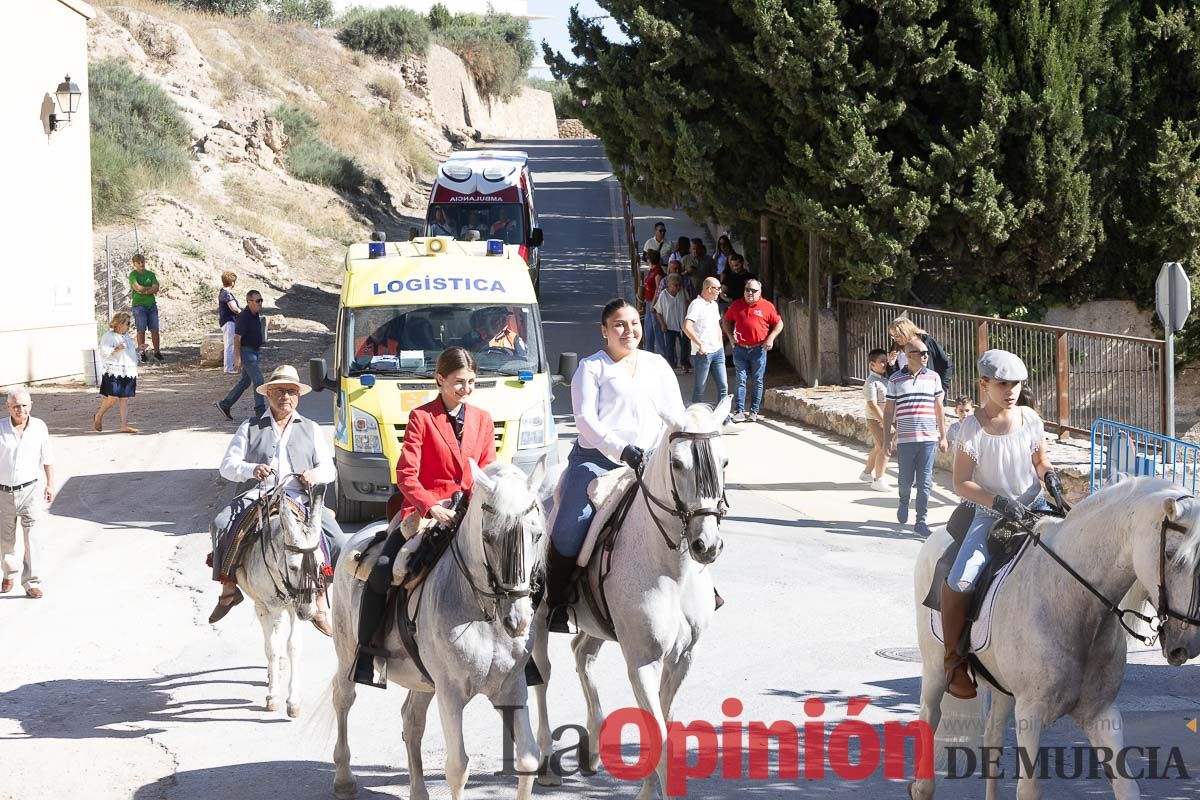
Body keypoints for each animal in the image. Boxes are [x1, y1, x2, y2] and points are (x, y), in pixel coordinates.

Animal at [237, 489, 328, 719]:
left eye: (320, 564)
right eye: (294, 567)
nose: (309, 613)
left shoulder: (295, 606)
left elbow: (293, 646)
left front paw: (293, 702)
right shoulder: (264, 606)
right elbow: (272, 648)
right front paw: (273, 697)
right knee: (273, 639)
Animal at [333, 460, 549, 800]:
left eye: (537, 535)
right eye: (489, 537)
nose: (519, 620)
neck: (484, 615)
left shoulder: (511, 688)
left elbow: (527, 758)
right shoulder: (451, 694)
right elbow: (458, 768)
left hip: (423, 679)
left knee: (411, 720)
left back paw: (418, 791)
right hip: (346, 656)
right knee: (343, 698)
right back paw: (343, 778)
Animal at [532, 400, 729, 800]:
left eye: (725, 462)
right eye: (677, 463)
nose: (707, 546)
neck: (671, 569)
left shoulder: (682, 658)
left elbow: (665, 724)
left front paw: (647, 789)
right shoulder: (642, 660)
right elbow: (659, 731)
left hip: (597, 625)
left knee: (582, 655)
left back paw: (592, 745)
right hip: (538, 618)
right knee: (542, 674)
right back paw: (544, 760)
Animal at [912, 479, 1200, 796]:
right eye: (1171, 555)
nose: (1186, 643)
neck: (1074, 602)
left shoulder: (1101, 714)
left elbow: (1127, 787)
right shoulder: (1030, 714)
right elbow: (1029, 789)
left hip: (1002, 690)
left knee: (992, 739)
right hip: (936, 671)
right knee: (929, 717)